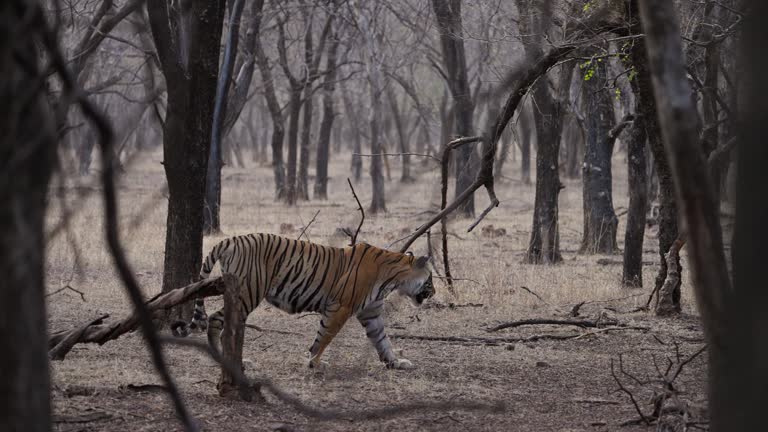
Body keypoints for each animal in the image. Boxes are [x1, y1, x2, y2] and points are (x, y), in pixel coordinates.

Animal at [174, 235, 436, 370]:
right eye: (431, 278)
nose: (433, 292)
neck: (391, 279)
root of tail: (230, 240)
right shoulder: (340, 307)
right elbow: (325, 335)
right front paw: (314, 362)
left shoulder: (370, 313)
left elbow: (382, 340)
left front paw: (396, 362)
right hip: (249, 292)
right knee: (215, 319)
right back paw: (223, 357)